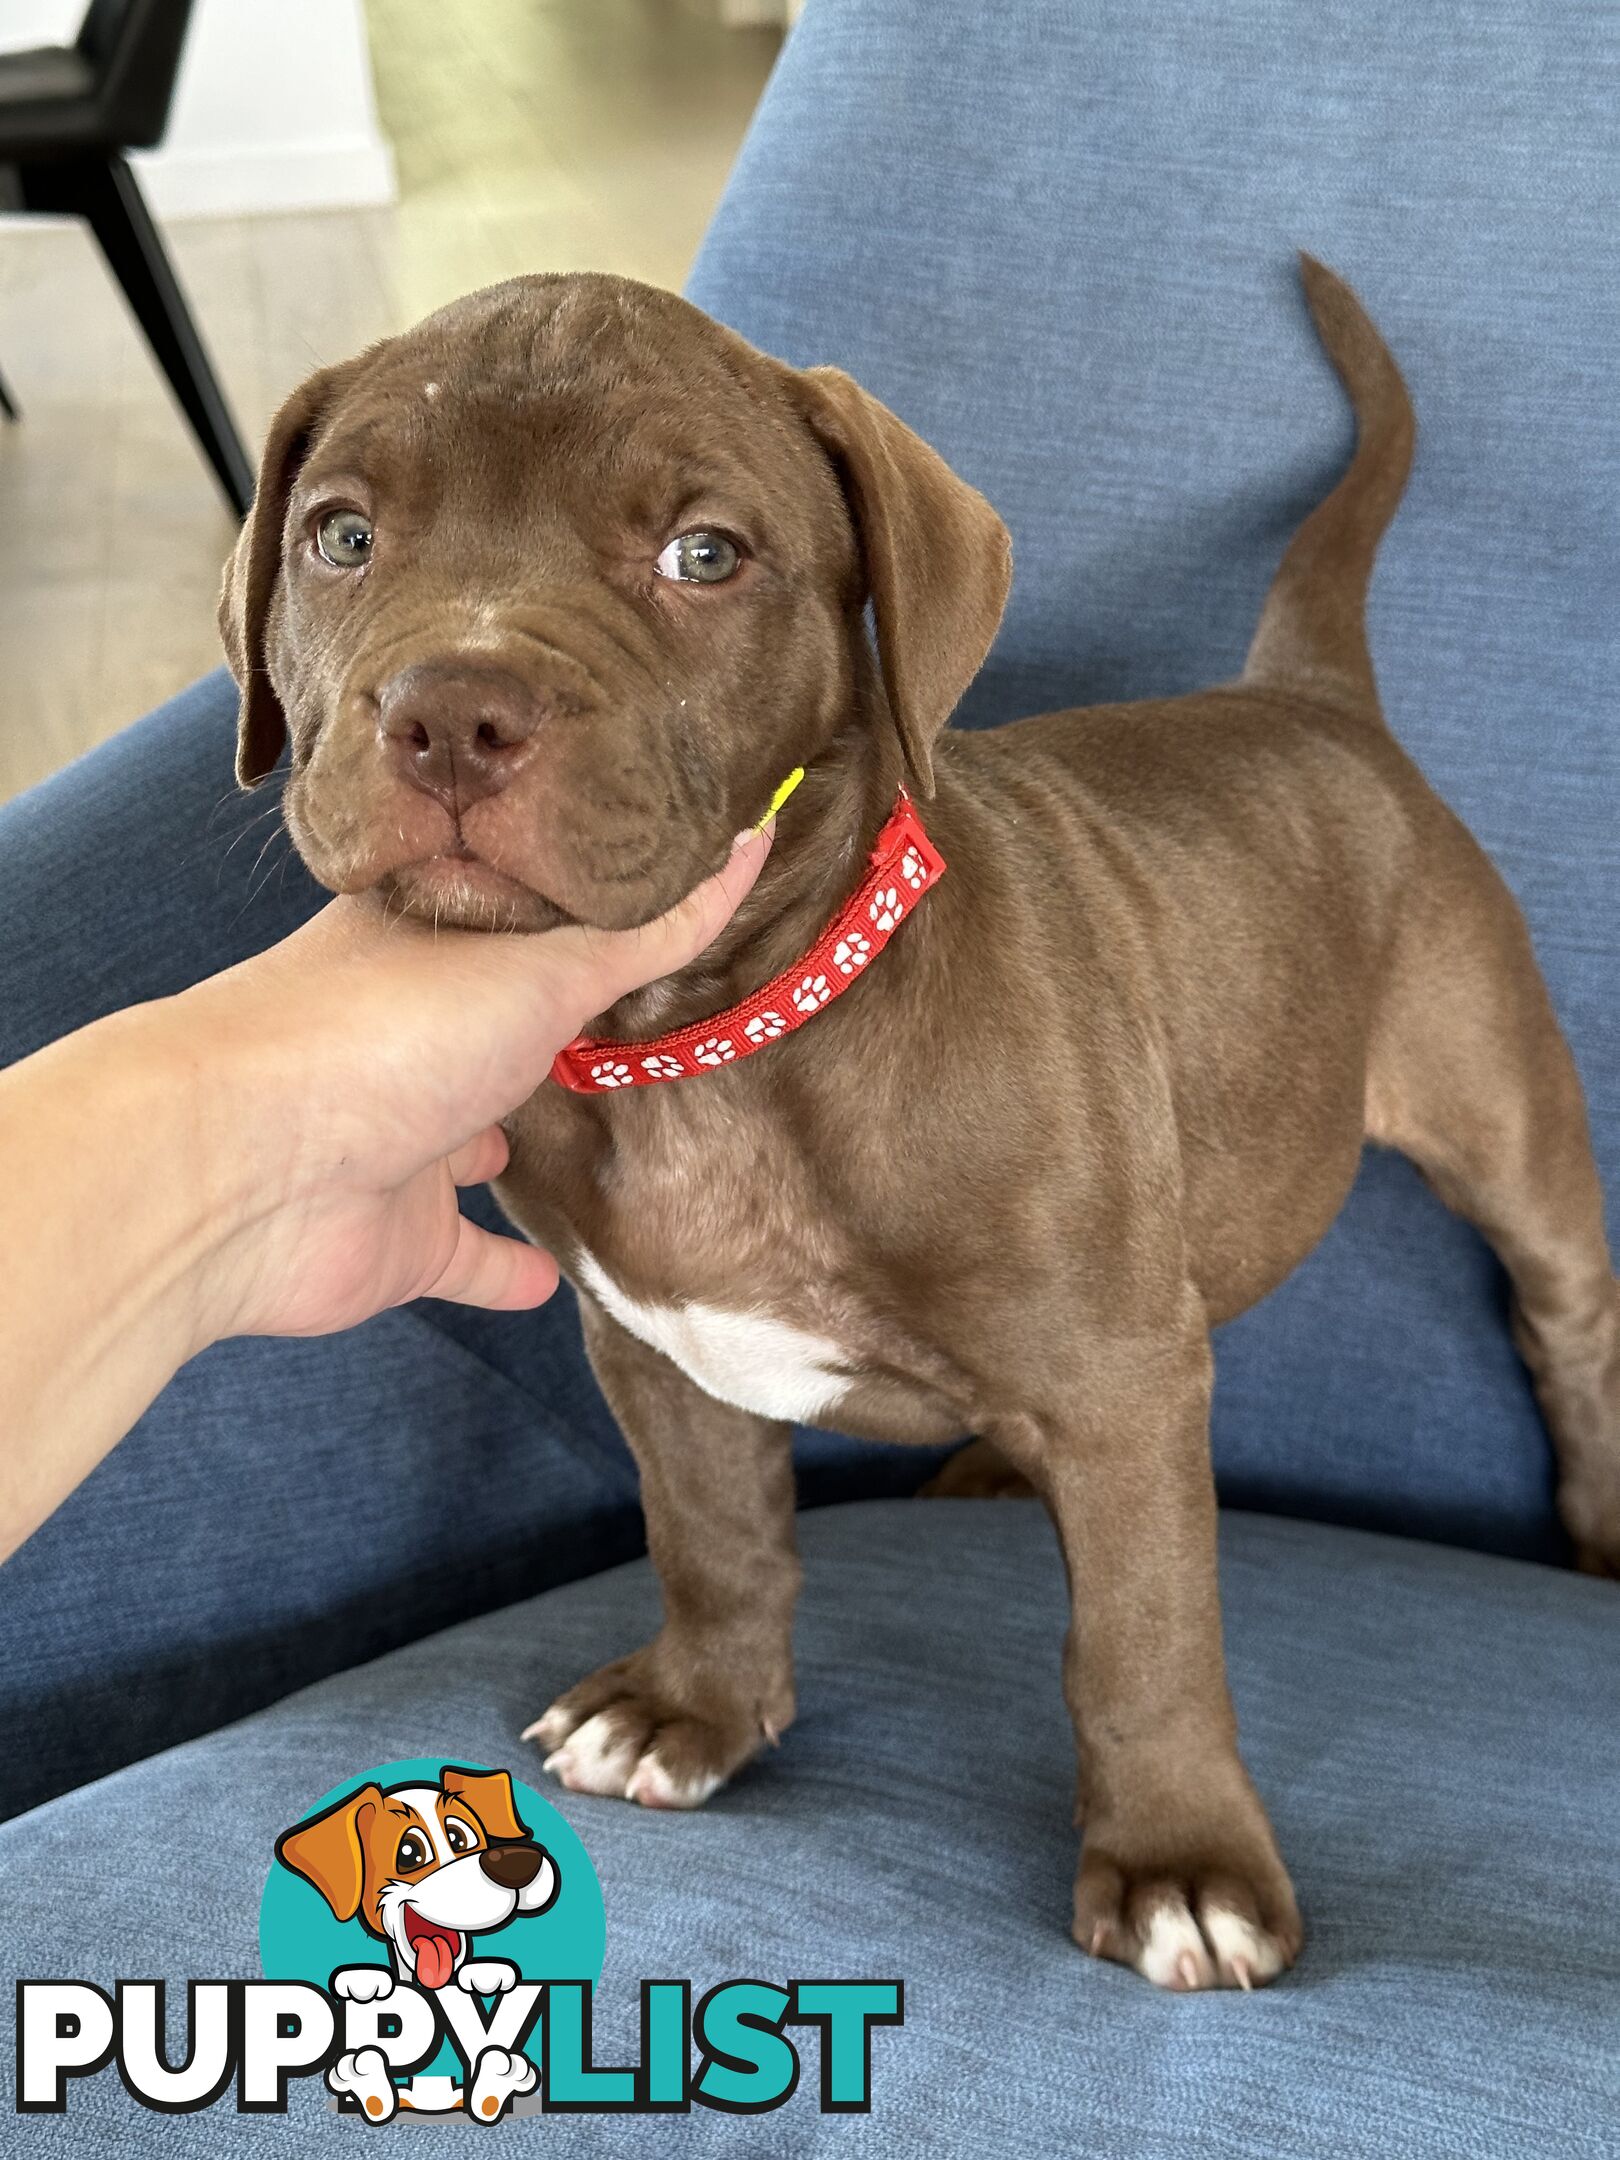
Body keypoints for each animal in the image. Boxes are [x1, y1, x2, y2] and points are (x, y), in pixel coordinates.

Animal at [219, 257, 1620, 1987]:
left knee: (1569, 1337)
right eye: (343, 537)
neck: (717, 1041)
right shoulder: (650, 1345)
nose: (452, 713)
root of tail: (1306, 702)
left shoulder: (1120, 1377)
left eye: (705, 556)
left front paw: (1181, 1861)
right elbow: (711, 1531)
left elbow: (1142, 1633)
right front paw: (691, 1709)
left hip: (1509, 1137)